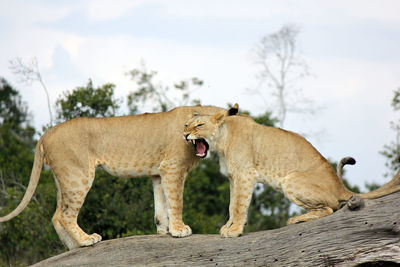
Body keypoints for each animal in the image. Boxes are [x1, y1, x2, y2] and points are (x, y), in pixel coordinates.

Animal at [0, 103, 238, 250]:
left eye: (199, 126)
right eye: (189, 126)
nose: (186, 135)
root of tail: (46, 133)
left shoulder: (159, 173)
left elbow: (161, 205)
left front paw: (163, 231)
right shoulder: (173, 168)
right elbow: (176, 201)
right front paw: (179, 230)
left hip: (64, 178)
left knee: (57, 215)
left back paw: (74, 246)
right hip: (78, 175)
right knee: (66, 215)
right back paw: (87, 240)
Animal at [183, 109, 400, 239]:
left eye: (199, 125)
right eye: (187, 125)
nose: (185, 134)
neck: (221, 141)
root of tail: (340, 187)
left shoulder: (245, 175)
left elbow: (239, 205)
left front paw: (235, 230)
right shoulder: (233, 178)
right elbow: (231, 205)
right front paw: (228, 227)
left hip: (290, 180)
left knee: (329, 208)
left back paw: (296, 219)